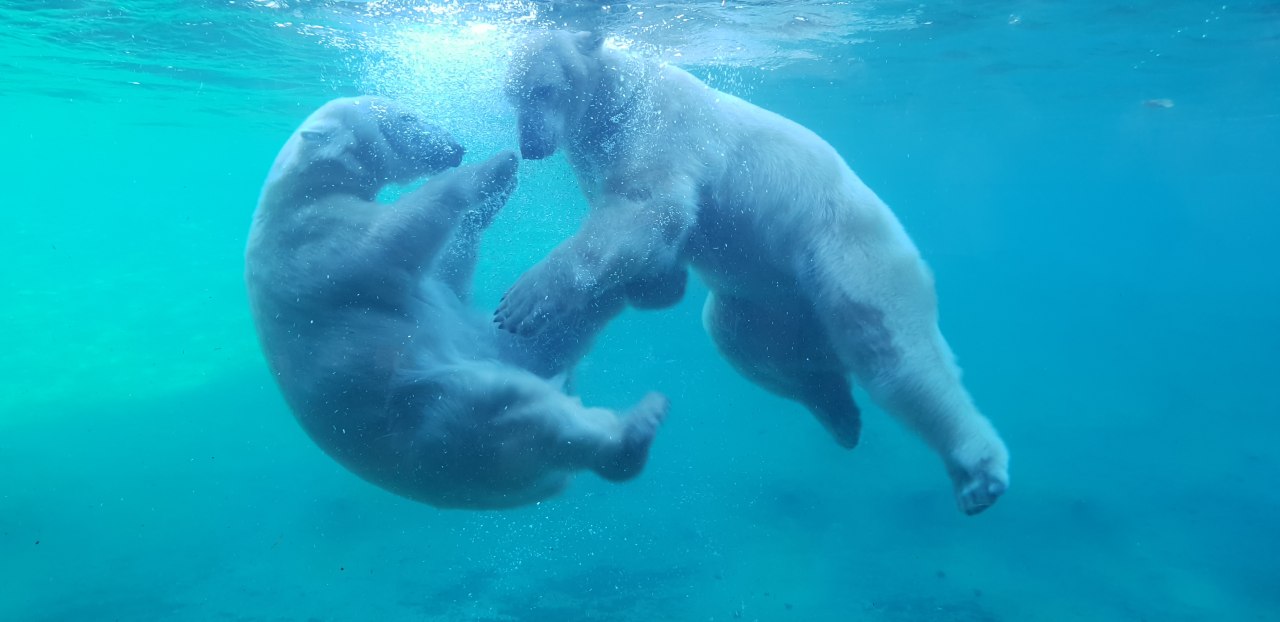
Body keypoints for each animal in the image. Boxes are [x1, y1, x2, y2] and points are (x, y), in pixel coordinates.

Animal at [245, 96, 668, 509]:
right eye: (405, 116)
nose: (455, 147)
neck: (298, 191)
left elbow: (449, 275)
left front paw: (499, 190)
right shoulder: (315, 240)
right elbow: (395, 232)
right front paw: (496, 166)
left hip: (494, 349)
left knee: (549, 340)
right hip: (437, 420)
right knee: (520, 411)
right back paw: (635, 429)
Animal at [494, 31, 1009, 515]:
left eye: (544, 89)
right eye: (512, 96)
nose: (530, 146)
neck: (618, 98)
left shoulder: (657, 129)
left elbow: (648, 207)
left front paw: (521, 302)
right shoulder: (594, 157)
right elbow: (653, 244)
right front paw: (657, 284)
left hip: (847, 253)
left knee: (896, 354)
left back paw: (978, 472)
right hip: (769, 303)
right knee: (744, 342)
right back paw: (838, 411)